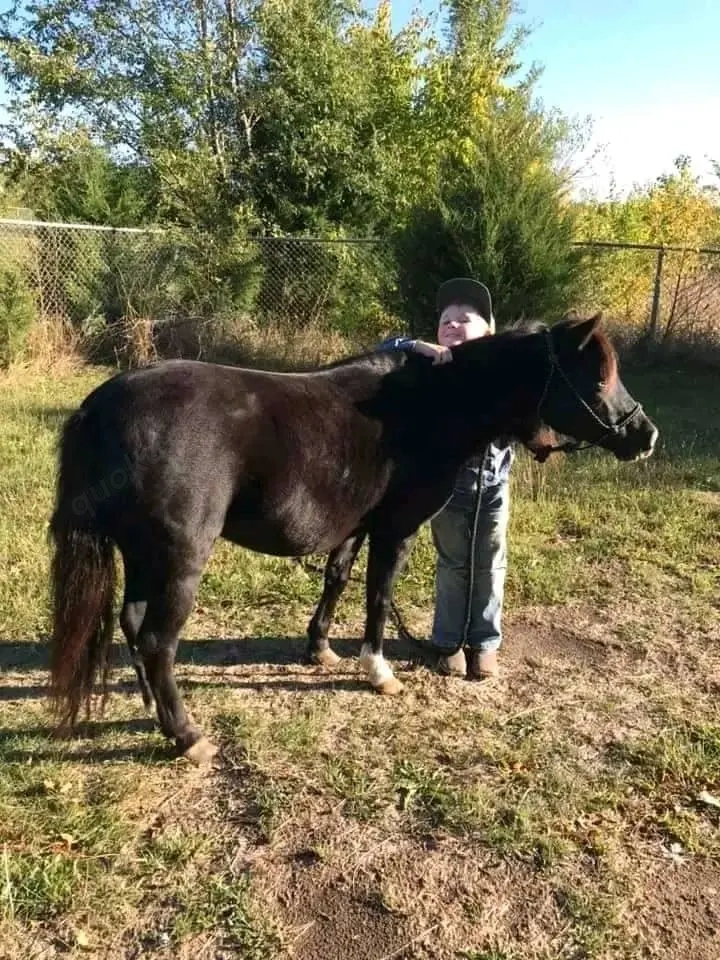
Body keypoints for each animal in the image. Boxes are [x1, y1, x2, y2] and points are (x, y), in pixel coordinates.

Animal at [48, 314, 658, 763]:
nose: (645, 435)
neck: (428, 407)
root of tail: (99, 405)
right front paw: (379, 671)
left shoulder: (353, 527)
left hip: (142, 554)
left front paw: (319, 648)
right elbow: (379, 597)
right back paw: (186, 735)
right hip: (179, 558)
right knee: (156, 640)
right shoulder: (395, 531)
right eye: (597, 379)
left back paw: (155, 713)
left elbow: (337, 579)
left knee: (132, 627)